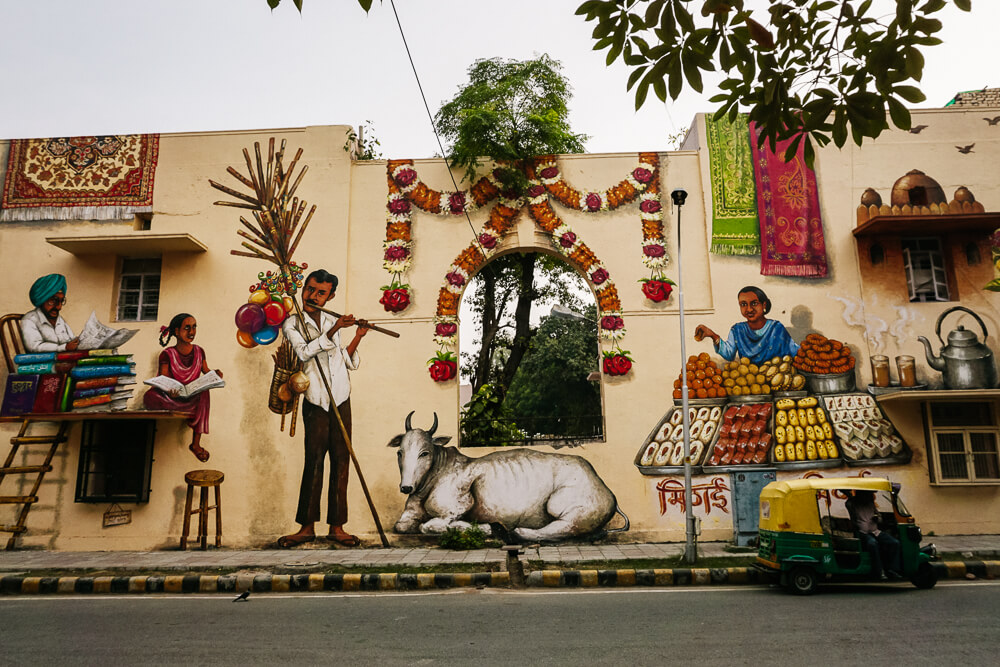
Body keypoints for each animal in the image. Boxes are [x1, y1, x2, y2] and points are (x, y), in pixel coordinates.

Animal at [388, 412, 628, 544]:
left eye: (424, 453)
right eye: (399, 452)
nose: (406, 488)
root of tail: (608, 492)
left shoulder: (453, 510)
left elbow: (427, 526)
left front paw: (489, 528)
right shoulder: (409, 514)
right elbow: (401, 525)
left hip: (571, 506)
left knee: (564, 528)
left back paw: (515, 532)